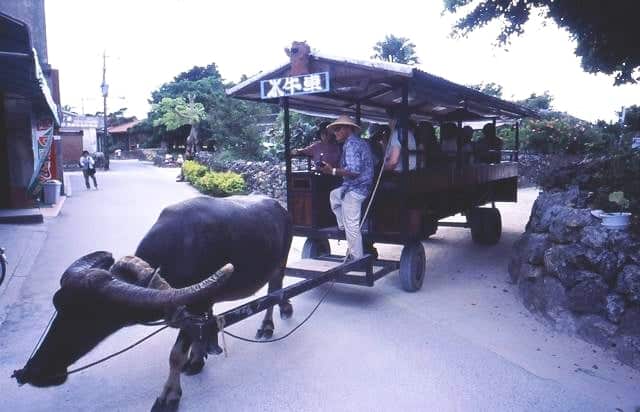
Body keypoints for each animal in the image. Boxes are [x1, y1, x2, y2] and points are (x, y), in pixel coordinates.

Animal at [13, 195, 292, 410]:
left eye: (89, 316)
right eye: (58, 304)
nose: (34, 372)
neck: (180, 249)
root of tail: (279, 206)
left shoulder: (193, 303)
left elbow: (176, 355)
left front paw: (169, 395)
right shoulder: (200, 301)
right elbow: (201, 331)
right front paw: (197, 360)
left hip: (280, 264)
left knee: (275, 292)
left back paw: (269, 325)